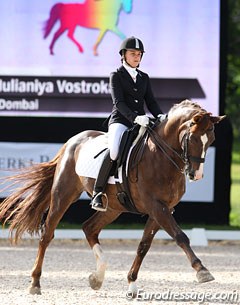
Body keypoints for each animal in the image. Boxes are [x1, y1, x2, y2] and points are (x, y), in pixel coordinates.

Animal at [0, 100, 225, 294]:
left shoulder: (162, 209)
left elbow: (144, 246)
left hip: (113, 207)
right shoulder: (156, 206)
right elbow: (180, 236)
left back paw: (97, 277)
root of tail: (72, 141)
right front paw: (202, 271)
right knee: (47, 234)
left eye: (211, 140)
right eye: (193, 138)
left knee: (89, 228)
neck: (160, 156)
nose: (196, 175)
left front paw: (132, 284)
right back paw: (35, 283)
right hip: (63, 195)